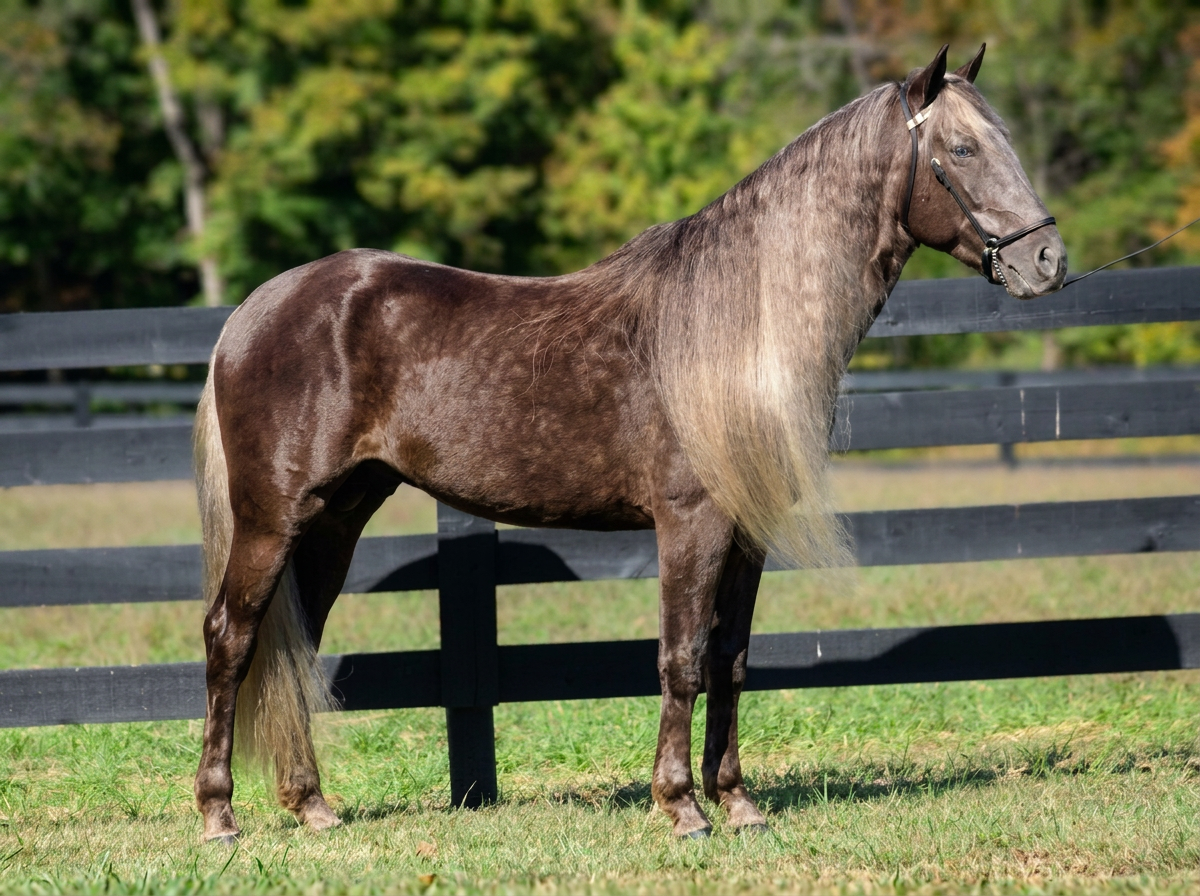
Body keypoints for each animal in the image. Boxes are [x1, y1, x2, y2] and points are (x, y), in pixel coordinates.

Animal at [192, 44, 1066, 843]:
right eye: (962, 150)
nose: (1048, 260)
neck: (733, 328)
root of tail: (252, 312)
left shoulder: (747, 533)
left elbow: (728, 658)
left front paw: (737, 802)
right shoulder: (691, 523)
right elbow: (679, 658)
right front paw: (680, 807)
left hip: (338, 519)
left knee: (296, 645)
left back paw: (311, 806)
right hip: (273, 519)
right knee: (232, 638)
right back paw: (219, 815)